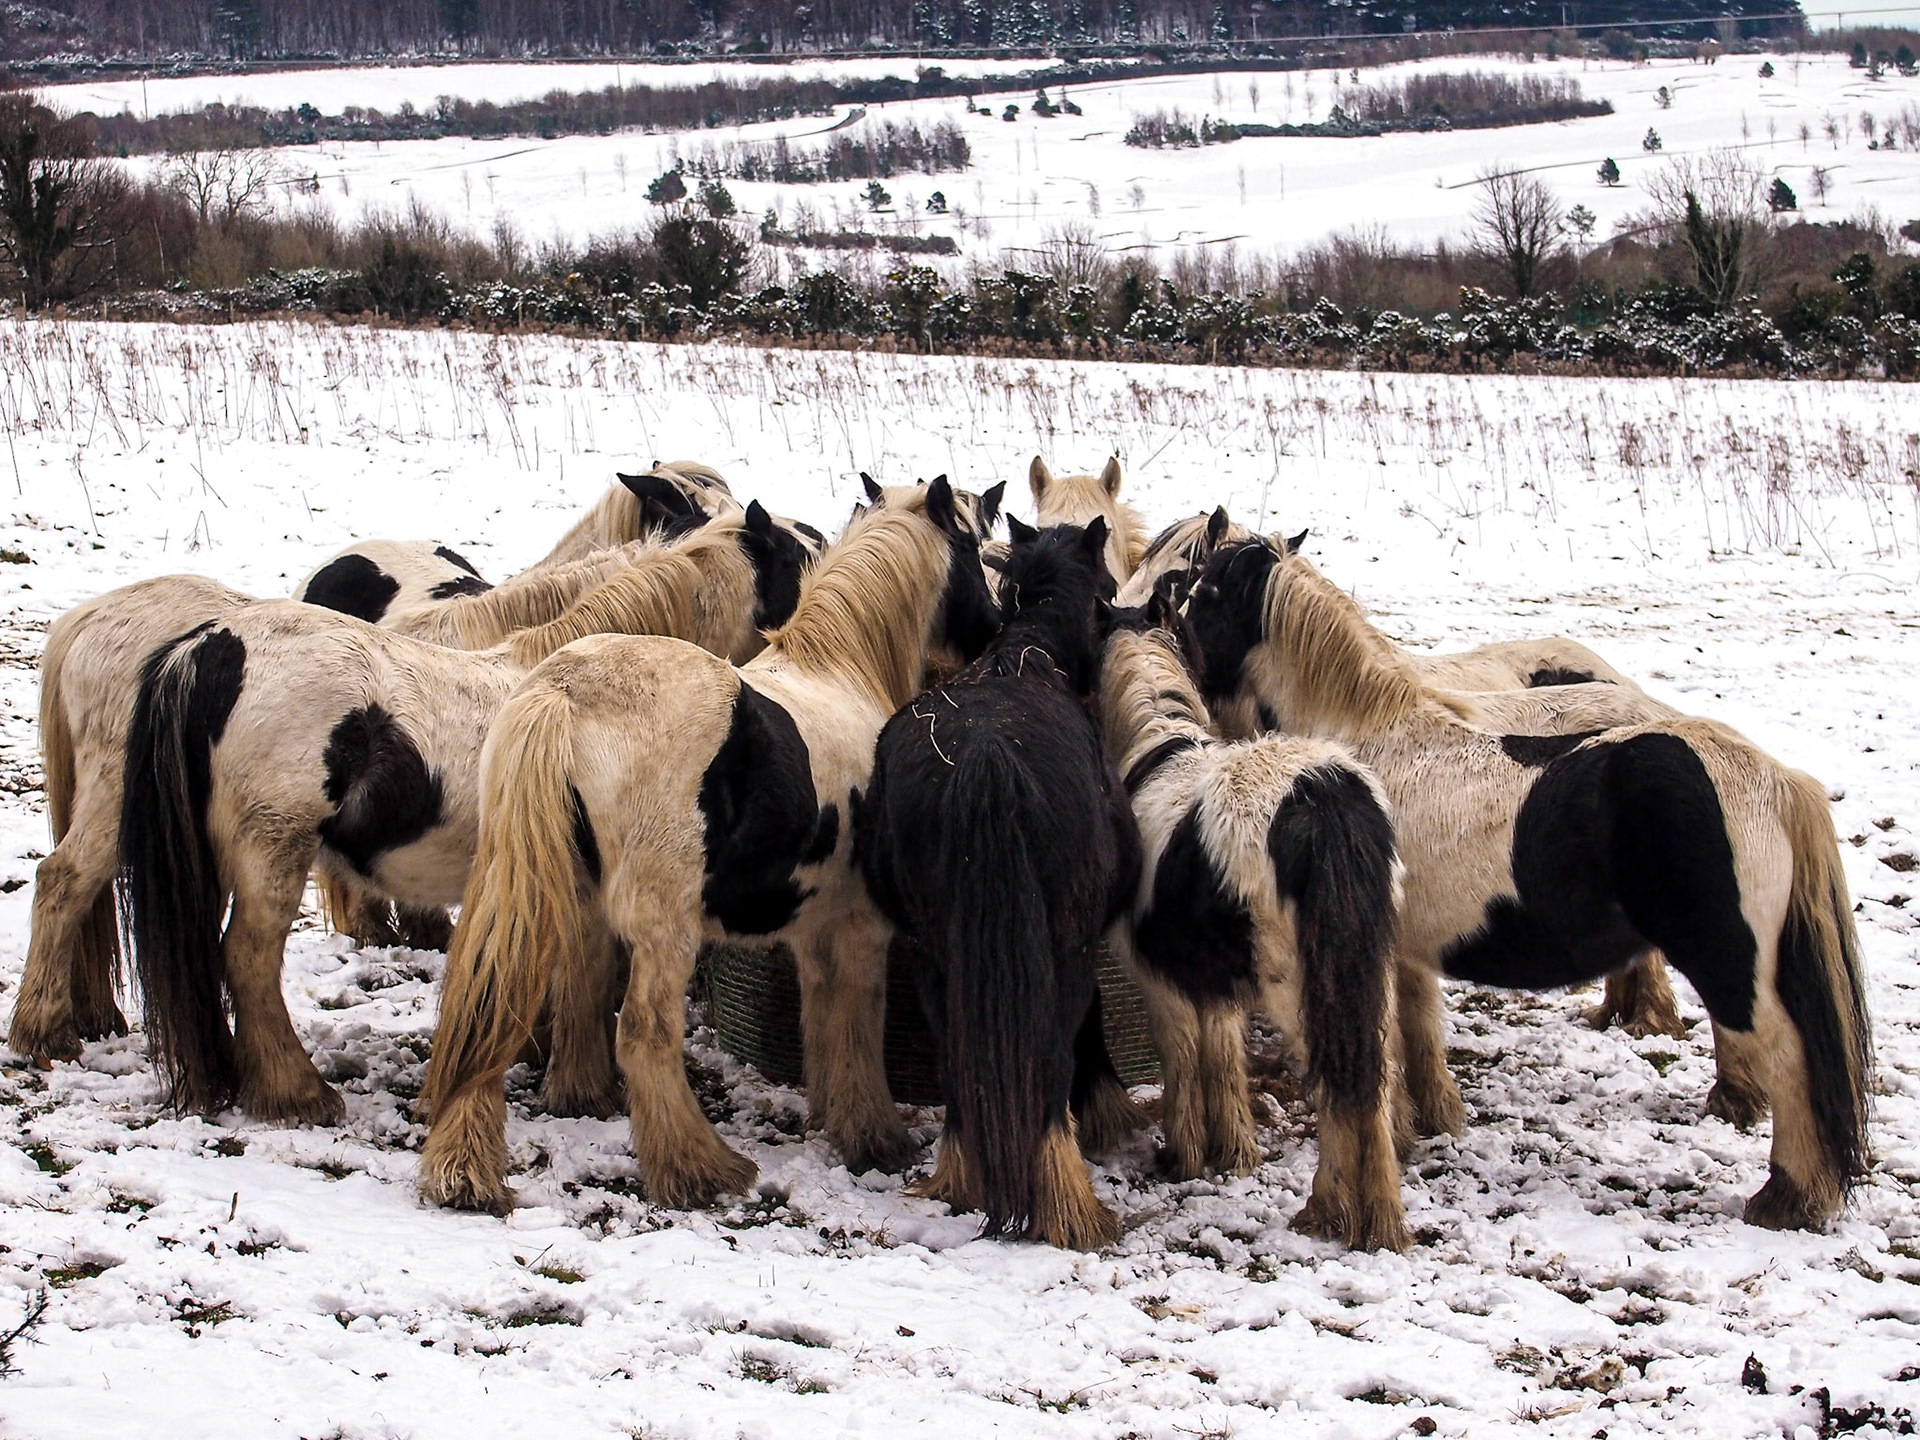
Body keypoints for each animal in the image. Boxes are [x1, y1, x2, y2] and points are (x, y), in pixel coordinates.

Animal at [115, 504, 816, 1126]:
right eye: (803, 555)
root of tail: (209, 646)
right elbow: (587, 981)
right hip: (273, 849)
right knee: (249, 958)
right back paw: (297, 1094)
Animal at [419, 477, 1003, 1214]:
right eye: (972, 544)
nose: (994, 627)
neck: (841, 671)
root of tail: (564, 694)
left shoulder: (813, 925)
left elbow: (822, 1017)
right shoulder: (860, 925)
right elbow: (857, 1020)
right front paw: (877, 1138)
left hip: (571, 904)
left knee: (530, 1001)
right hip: (664, 929)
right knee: (644, 1033)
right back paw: (699, 1170)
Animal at [857, 518, 1138, 1249]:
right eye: (1109, 586)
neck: (1026, 654)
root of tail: (987, 758)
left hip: (934, 950)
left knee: (958, 1055)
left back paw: (961, 1174)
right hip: (1062, 950)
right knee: (1053, 1057)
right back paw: (1066, 1199)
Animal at [1096, 611, 1407, 1251]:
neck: (1159, 752)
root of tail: (1323, 800)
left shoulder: (1161, 979)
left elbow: (1183, 1057)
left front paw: (1184, 1154)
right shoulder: (1213, 980)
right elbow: (1221, 1054)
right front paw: (1234, 1152)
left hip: (1301, 988)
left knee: (1339, 1084)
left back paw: (1328, 1208)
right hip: (1370, 974)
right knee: (1377, 1080)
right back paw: (1384, 1216)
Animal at [1182, 537, 1873, 1229]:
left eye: (1208, 592)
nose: (1174, 655)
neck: (1366, 743)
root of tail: (1780, 780)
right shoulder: (1405, 950)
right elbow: (1413, 1032)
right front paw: (1427, 1122)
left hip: (1730, 960)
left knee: (1788, 1059)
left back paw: (1785, 1195)